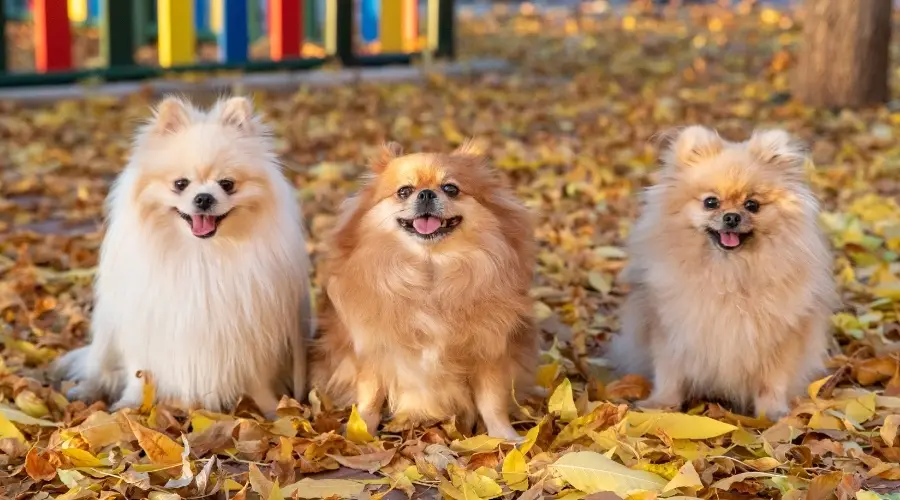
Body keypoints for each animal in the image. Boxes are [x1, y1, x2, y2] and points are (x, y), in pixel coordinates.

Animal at [52, 94, 314, 414]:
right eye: (180, 184)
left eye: (227, 184)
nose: (204, 198)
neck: (201, 254)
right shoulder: (147, 328)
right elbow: (140, 373)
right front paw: (130, 406)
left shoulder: (252, 335)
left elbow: (258, 381)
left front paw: (273, 411)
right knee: (99, 368)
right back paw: (85, 391)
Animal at [312, 141, 536, 438]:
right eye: (404, 191)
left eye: (451, 188)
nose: (426, 193)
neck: (430, 271)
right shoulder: (373, 350)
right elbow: (371, 396)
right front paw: (360, 432)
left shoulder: (489, 352)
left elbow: (492, 401)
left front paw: (504, 436)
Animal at [612, 125, 836, 418]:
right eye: (711, 202)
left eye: (752, 205)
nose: (732, 217)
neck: (729, 273)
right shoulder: (671, 330)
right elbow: (669, 373)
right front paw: (662, 404)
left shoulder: (781, 339)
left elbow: (772, 381)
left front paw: (772, 413)